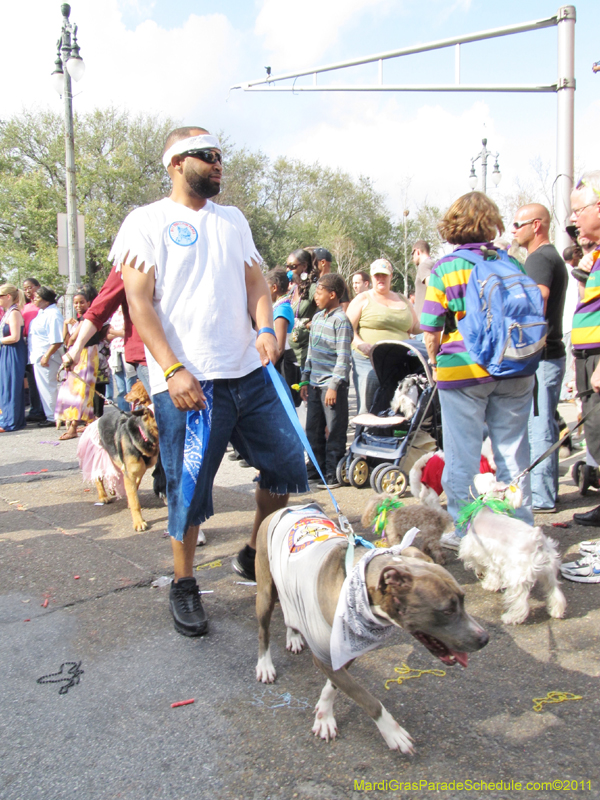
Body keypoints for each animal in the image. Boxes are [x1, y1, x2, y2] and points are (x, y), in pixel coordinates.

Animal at [95, 382, 158, 532]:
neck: (144, 435)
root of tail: (99, 417)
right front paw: (138, 522)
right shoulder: (131, 472)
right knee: (98, 478)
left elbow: (135, 487)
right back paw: (103, 496)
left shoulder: (136, 470)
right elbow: (135, 502)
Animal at [253, 504, 488, 752]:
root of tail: (290, 507)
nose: (485, 639)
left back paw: (294, 636)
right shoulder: (325, 657)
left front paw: (324, 714)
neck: (356, 589)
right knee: (263, 631)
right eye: (447, 611)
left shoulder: (345, 651)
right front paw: (392, 732)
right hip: (265, 590)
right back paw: (265, 665)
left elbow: (333, 687)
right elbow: (366, 698)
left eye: (463, 599)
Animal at [460, 476, 568, 624]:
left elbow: (477, 562)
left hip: (517, 577)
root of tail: (537, 539)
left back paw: (511, 617)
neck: (490, 507)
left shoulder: (475, 547)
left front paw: (481, 574)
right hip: (549, 571)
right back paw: (556, 611)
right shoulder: (495, 558)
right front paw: (490, 585)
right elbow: (493, 573)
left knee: (520, 602)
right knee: (554, 591)